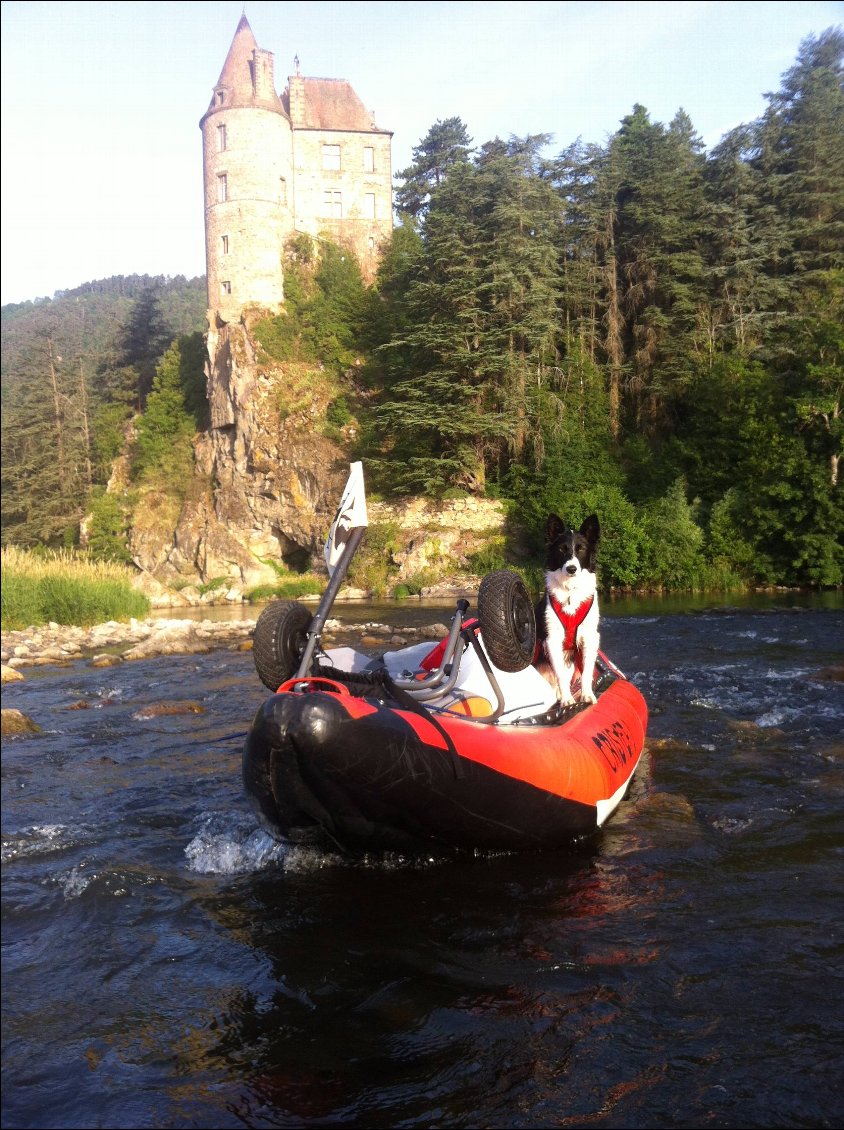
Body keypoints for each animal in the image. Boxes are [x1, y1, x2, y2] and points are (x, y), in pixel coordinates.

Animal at [535, 515, 601, 705]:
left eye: (581, 549)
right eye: (561, 549)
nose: (571, 569)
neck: (571, 592)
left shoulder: (590, 637)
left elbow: (586, 671)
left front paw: (587, 695)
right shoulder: (552, 640)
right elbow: (561, 676)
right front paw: (567, 700)